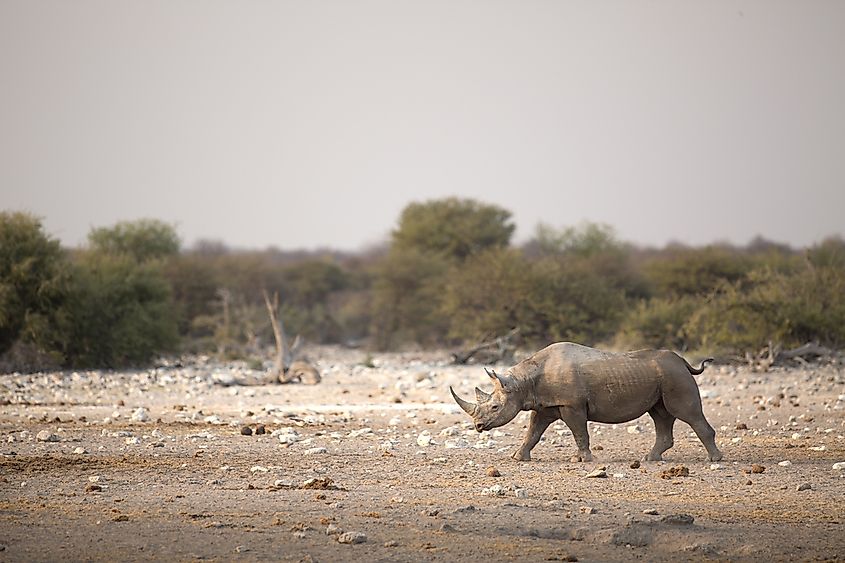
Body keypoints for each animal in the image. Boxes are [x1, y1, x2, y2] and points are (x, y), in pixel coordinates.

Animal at [449, 342, 722, 463]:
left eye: (495, 407)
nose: (478, 427)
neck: (522, 383)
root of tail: (683, 361)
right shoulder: (546, 405)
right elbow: (533, 431)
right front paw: (518, 457)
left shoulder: (572, 405)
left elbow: (579, 431)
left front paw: (582, 460)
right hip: (664, 378)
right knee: (660, 415)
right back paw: (650, 459)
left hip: (675, 376)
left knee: (687, 413)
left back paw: (715, 460)